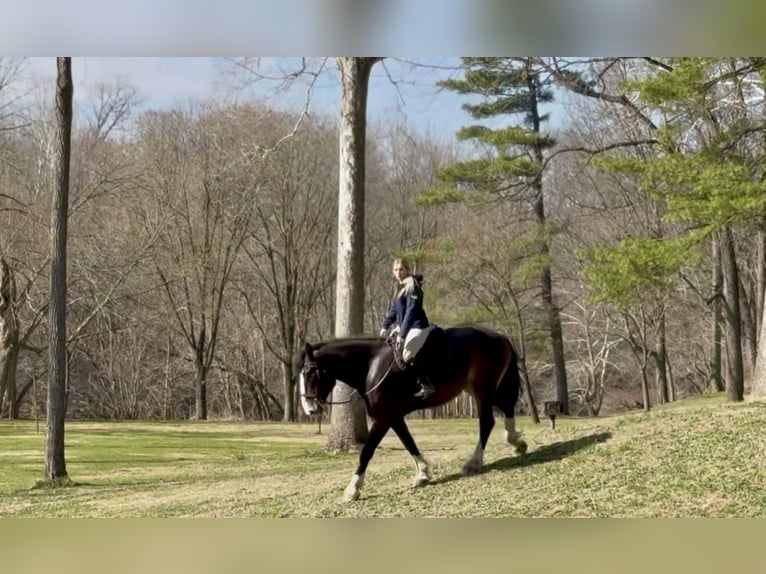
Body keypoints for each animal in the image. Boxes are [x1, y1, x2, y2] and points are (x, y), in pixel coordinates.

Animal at [298, 325, 528, 501]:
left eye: (309, 373)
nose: (309, 408)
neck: (372, 366)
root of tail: (499, 336)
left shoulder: (383, 419)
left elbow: (367, 452)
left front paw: (352, 489)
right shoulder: (394, 417)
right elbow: (409, 443)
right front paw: (423, 474)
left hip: (483, 391)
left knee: (487, 422)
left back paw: (474, 463)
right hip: (480, 390)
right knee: (506, 409)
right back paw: (517, 444)